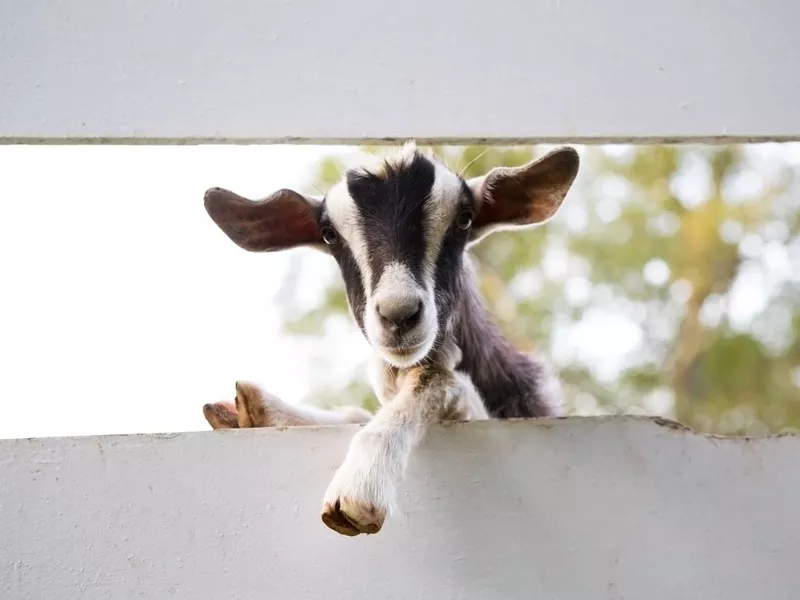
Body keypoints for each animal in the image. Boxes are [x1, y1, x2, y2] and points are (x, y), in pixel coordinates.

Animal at [200, 143, 576, 536]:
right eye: (328, 233)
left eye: (465, 219)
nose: (399, 314)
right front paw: (257, 410)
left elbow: (438, 379)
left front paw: (361, 482)